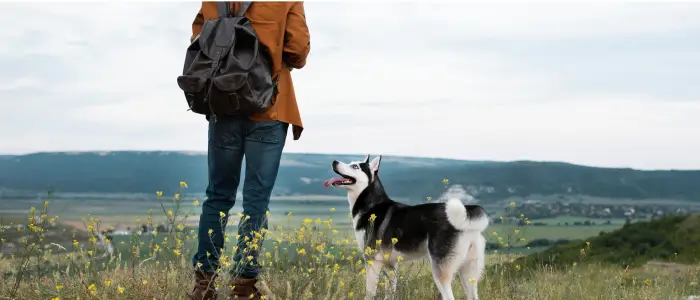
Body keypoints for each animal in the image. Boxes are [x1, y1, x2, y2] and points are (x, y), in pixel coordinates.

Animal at [322, 156, 486, 298]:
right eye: (351, 163)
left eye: (355, 166)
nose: (334, 161)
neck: (371, 205)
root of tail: (468, 212)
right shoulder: (391, 265)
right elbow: (390, 293)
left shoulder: (372, 261)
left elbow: (369, 293)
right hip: (468, 273)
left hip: (441, 271)